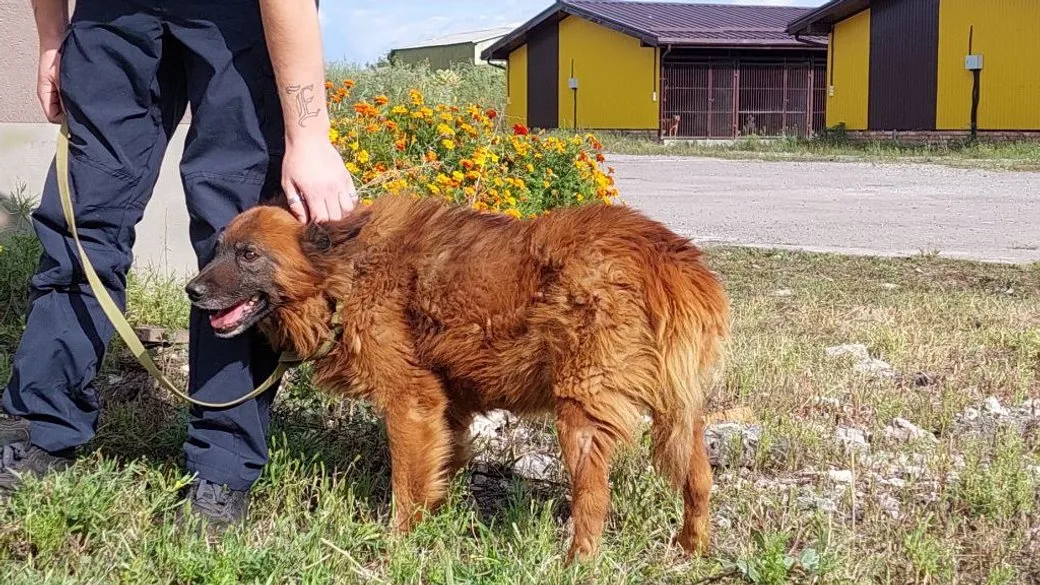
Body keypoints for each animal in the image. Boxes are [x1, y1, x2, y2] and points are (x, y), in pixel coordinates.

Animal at [185, 193, 732, 557]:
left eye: (249, 255)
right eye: (218, 248)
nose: (192, 290)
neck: (344, 273)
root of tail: (664, 254)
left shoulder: (411, 402)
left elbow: (407, 486)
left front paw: (397, 543)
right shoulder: (448, 408)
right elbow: (438, 469)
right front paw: (434, 520)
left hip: (581, 412)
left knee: (594, 500)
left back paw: (577, 562)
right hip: (682, 410)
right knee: (699, 480)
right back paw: (691, 546)